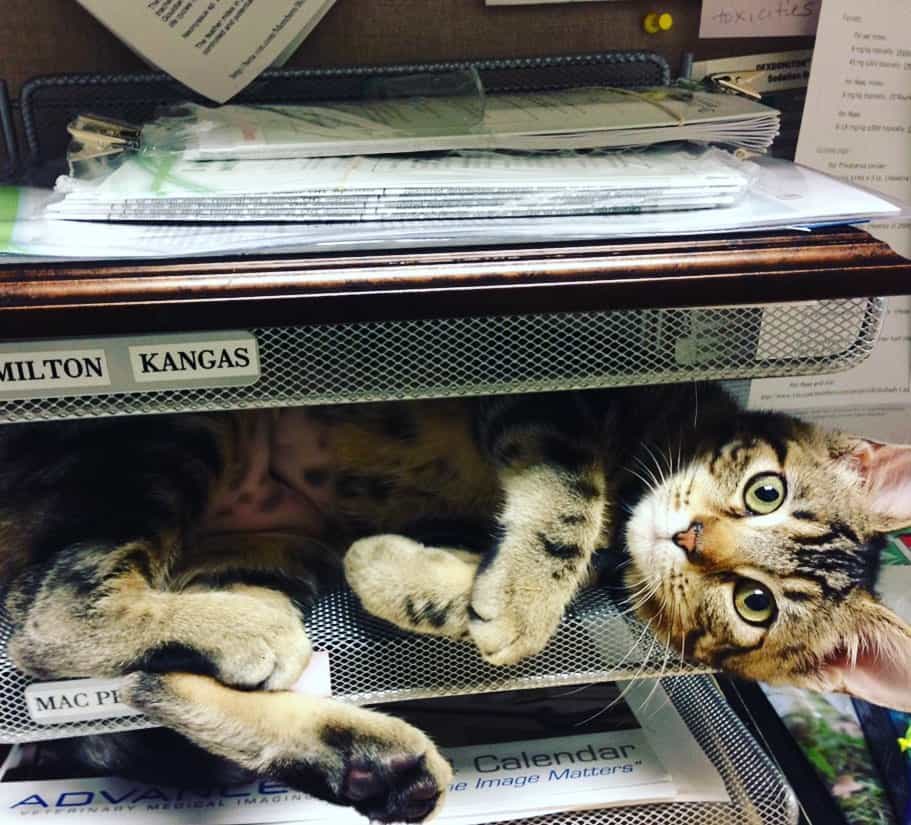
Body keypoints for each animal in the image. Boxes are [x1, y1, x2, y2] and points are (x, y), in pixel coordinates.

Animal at [5, 386, 911, 824]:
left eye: (752, 604)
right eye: (766, 491)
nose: (687, 539)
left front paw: (415, 578)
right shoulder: (553, 402)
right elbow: (571, 493)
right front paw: (515, 599)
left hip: (267, 545)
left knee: (144, 680)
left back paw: (378, 765)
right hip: (176, 441)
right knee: (50, 622)